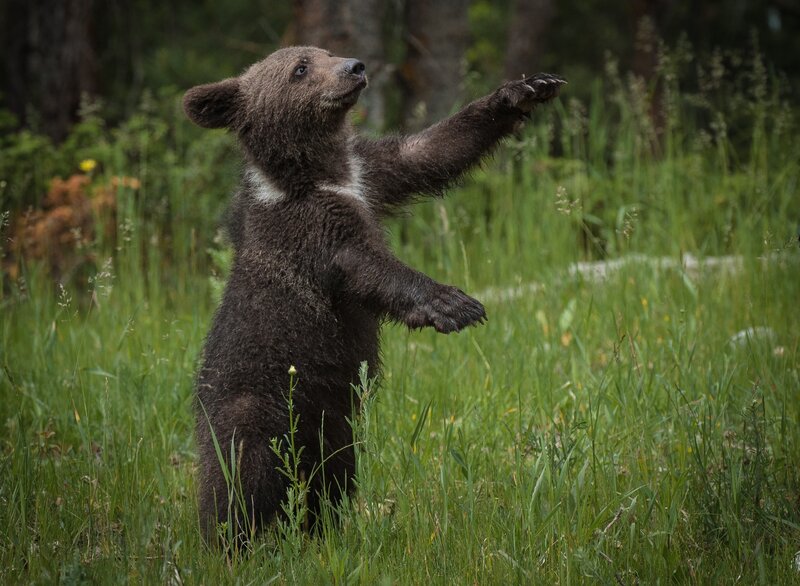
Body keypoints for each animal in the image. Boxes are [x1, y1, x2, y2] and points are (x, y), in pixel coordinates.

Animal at [183, 46, 564, 545]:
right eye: (301, 68)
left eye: (324, 52)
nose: (355, 67)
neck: (318, 173)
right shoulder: (310, 228)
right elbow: (368, 267)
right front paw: (453, 304)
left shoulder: (369, 174)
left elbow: (429, 151)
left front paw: (526, 90)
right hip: (253, 403)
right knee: (239, 482)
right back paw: (232, 542)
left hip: (332, 421)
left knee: (330, 476)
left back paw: (324, 531)